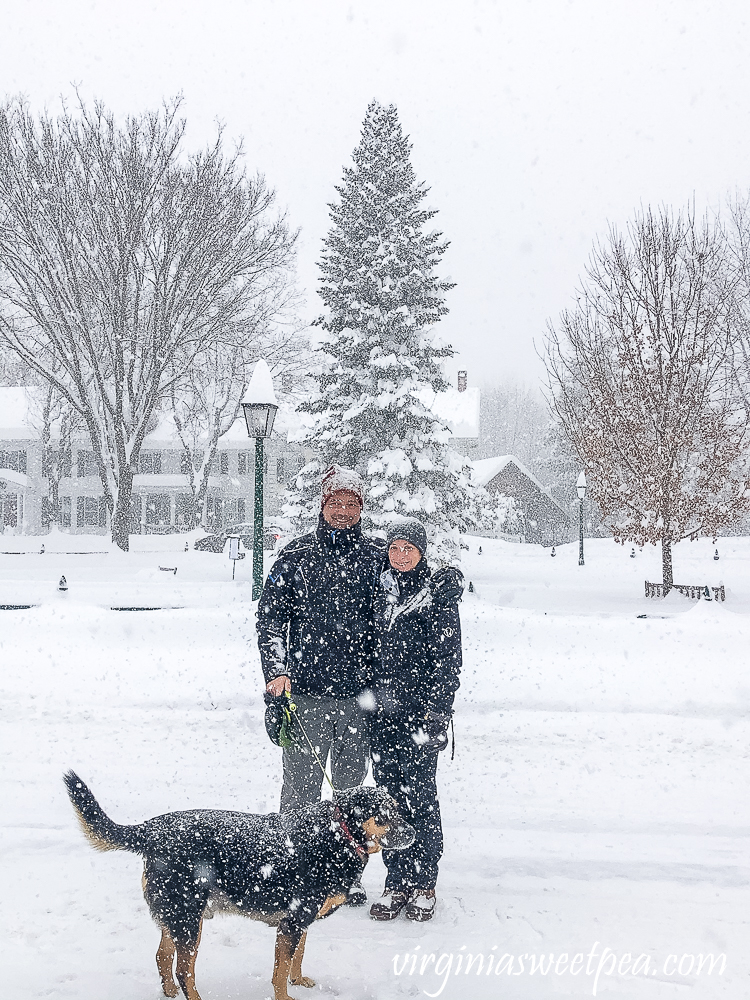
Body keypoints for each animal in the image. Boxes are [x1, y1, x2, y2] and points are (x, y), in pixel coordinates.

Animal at [63, 772, 418, 1000]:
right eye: (383, 815)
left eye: (398, 810)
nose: (413, 832)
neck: (336, 834)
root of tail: (153, 828)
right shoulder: (291, 923)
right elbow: (279, 971)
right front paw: (285, 995)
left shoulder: (300, 921)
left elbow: (298, 957)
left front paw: (299, 980)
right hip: (189, 920)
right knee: (184, 970)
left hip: (177, 916)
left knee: (163, 959)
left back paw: (170, 993)